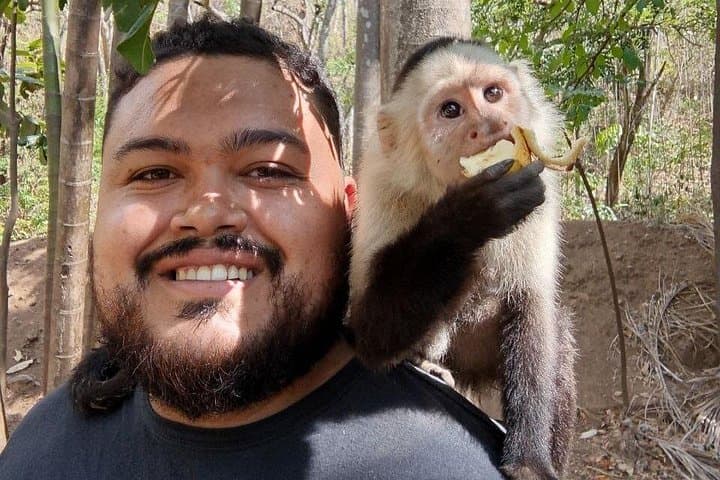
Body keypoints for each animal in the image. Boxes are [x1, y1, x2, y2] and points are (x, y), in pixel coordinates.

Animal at [347, 37, 577, 480]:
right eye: (450, 110)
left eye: (493, 94)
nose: (489, 124)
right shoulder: (383, 187)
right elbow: (365, 335)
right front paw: (472, 215)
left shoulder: (541, 189)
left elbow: (532, 306)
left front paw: (530, 462)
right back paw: (427, 363)